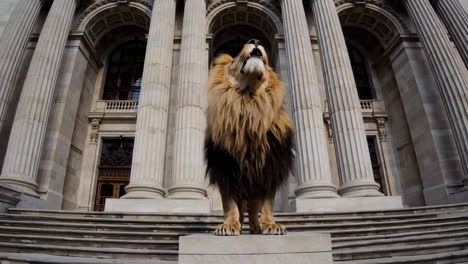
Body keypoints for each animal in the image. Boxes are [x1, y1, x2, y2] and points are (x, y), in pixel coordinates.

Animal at [204, 38, 294, 235]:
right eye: (236, 54)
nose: (255, 40)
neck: (248, 100)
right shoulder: (226, 169)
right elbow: (229, 203)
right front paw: (229, 225)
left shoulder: (269, 166)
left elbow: (267, 202)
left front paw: (270, 225)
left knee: (253, 208)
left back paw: (256, 227)